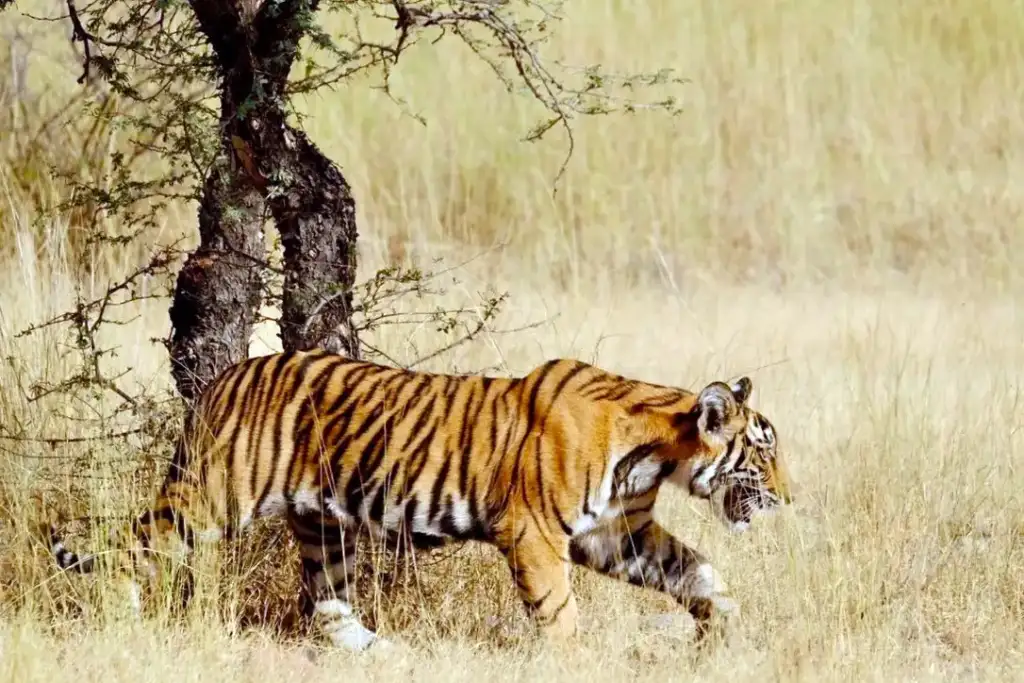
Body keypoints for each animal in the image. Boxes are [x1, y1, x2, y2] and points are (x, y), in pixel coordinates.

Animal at [44, 350, 790, 651]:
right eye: (763, 452)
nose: (789, 498)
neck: (657, 455)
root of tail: (223, 378)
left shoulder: (616, 533)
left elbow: (699, 571)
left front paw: (726, 630)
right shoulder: (534, 533)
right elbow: (561, 614)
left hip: (322, 526)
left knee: (327, 606)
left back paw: (385, 655)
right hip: (212, 498)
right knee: (129, 545)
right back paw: (120, 617)